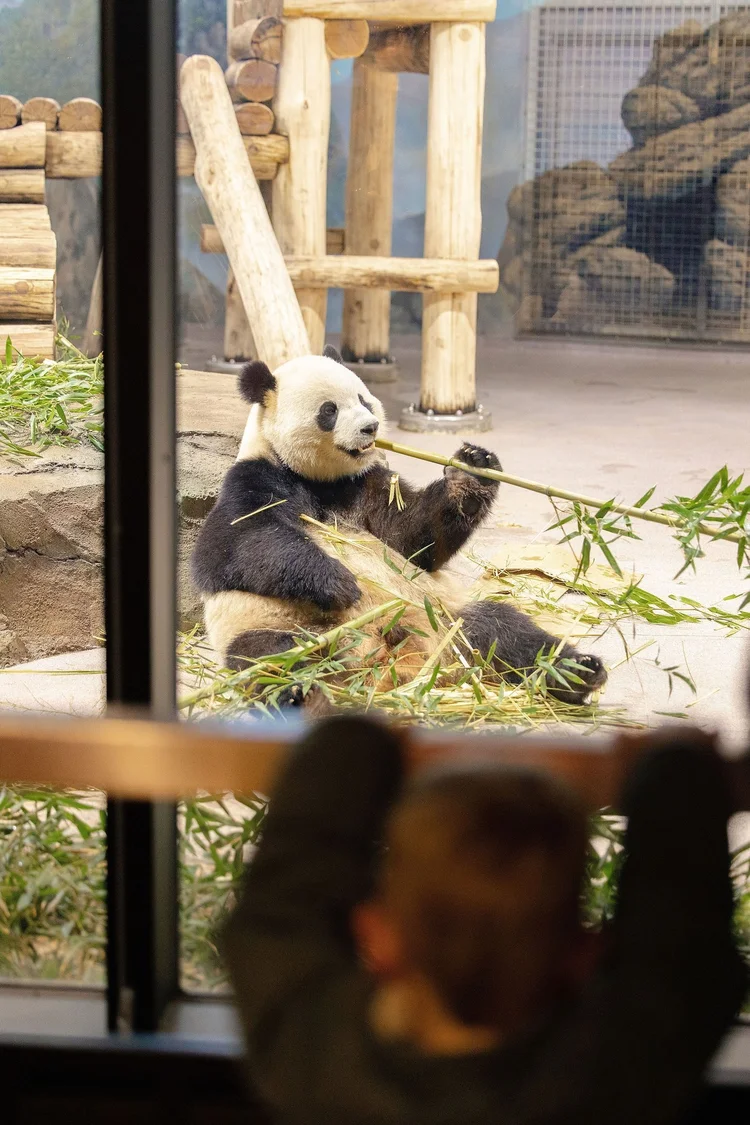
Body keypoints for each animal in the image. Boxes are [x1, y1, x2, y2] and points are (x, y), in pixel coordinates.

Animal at [191, 346, 607, 707]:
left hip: (441, 619)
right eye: (329, 410)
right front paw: (338, 583)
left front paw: (473, 470)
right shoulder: (257, 476)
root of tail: (391, 668)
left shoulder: (366, 485)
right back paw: (299, 693)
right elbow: (236, 544)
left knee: (502, 630)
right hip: (278, 626)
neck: (320, 480)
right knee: (272, 659)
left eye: (363, 399)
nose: (371, 426)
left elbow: (413, 541)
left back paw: (577, 673)